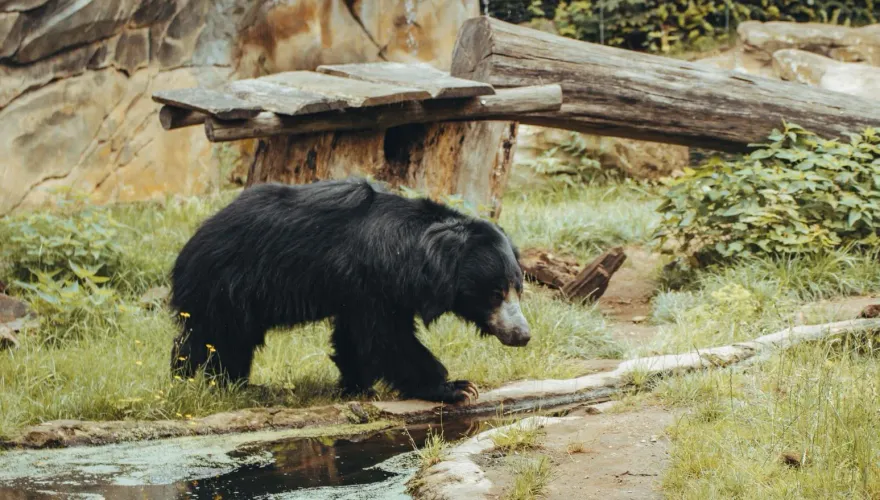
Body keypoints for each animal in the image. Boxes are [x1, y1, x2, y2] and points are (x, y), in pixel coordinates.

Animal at [168, 178, 530, 404]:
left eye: (518, 288)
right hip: (227, 286)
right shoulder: (369, 281)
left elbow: (355, 339)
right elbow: (385, 338)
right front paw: (456, 387)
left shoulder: (372, 291)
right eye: (495, 293)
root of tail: (192, 241)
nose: (523, 335)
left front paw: (356, 387)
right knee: (216, 339)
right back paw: (205, 383)